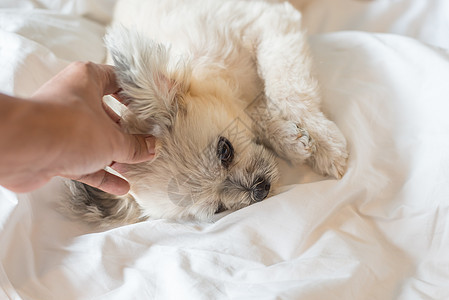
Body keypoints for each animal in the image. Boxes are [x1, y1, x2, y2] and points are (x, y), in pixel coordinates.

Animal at [66, 0, 348, 225]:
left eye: (225, 150)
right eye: (218, 208)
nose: (259, 190)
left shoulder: (269, 24)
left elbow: (287, 91)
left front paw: (325, 143)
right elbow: (261, 113)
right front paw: (291, 139)